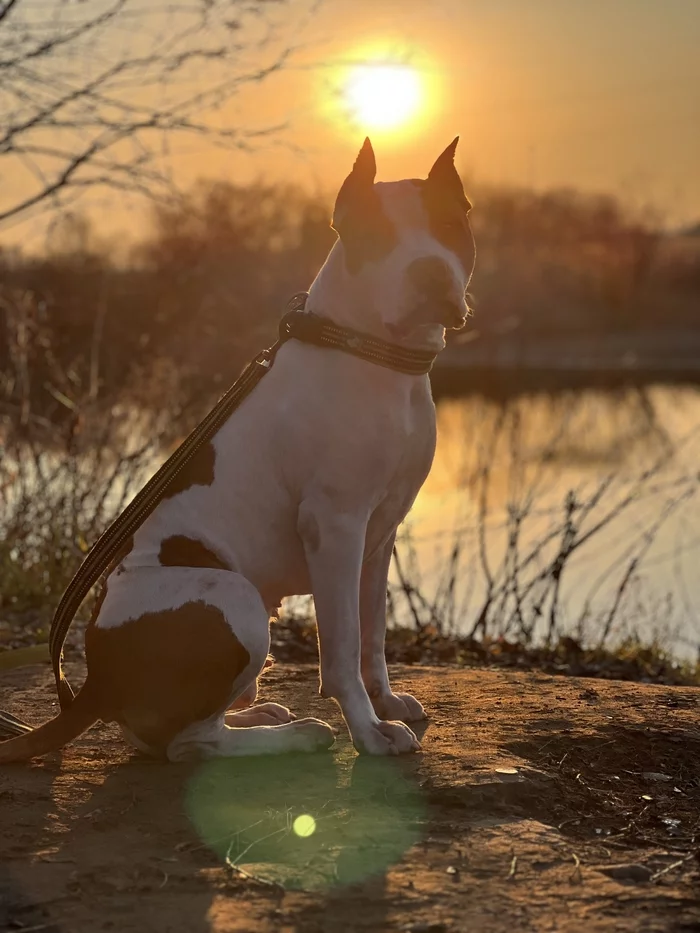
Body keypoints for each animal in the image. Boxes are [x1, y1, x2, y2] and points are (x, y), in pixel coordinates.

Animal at [0, 140, 476, 764]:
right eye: (376, 237)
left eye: (450, 225)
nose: (429, 270)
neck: (371, 350)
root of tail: (95, 683)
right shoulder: (336, 527)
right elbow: (342, 649)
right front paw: (368, 730)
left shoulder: (380, 535)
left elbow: (372, 635)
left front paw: (387, 702)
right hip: (235, 598)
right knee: (192, 743)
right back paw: (295, 735)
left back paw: (261, 714)